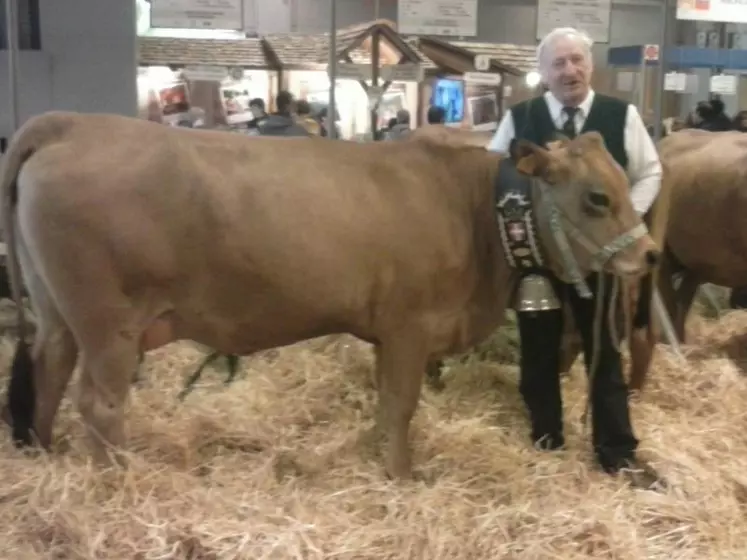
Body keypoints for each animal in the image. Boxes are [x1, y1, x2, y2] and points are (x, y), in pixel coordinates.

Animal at [0, 111, 656, 480]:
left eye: (626, 181)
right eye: (597, 197)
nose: (649, 254)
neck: (473, 209)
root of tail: (75, 123)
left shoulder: (388, 333)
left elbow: (386, 405)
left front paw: (380, 461)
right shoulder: (409, 326)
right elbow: (402, 405)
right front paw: (402, 478)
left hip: (59, 315)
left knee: (47, 371)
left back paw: (47, 456)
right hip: (108, 325)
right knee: (98, 403)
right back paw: (117, 483)